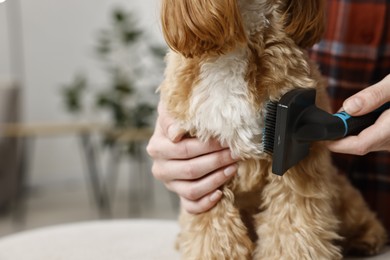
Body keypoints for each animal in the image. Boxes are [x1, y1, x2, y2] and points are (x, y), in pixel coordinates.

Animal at [158, 0, 386, 258]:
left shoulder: (295, 159)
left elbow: (294, 221)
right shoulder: (203, 165)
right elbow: (213, 227)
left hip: (340, 190)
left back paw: (366, 238)